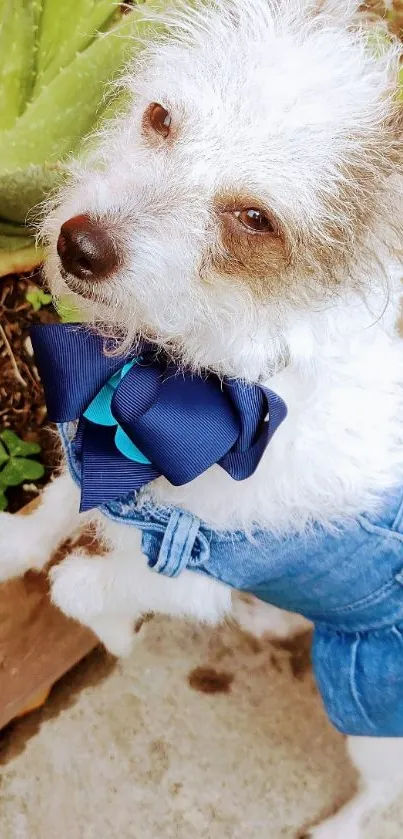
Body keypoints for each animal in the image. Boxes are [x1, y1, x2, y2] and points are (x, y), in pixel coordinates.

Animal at [0, 0, 403, 836]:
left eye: (255, 218)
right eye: (160, 117)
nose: (79, 246)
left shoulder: (188, 575)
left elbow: (77, 589)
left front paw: (118, 636)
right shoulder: (109, 443)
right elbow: (57, 503)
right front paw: (8, 547)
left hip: (375, 715)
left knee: (387, 791)